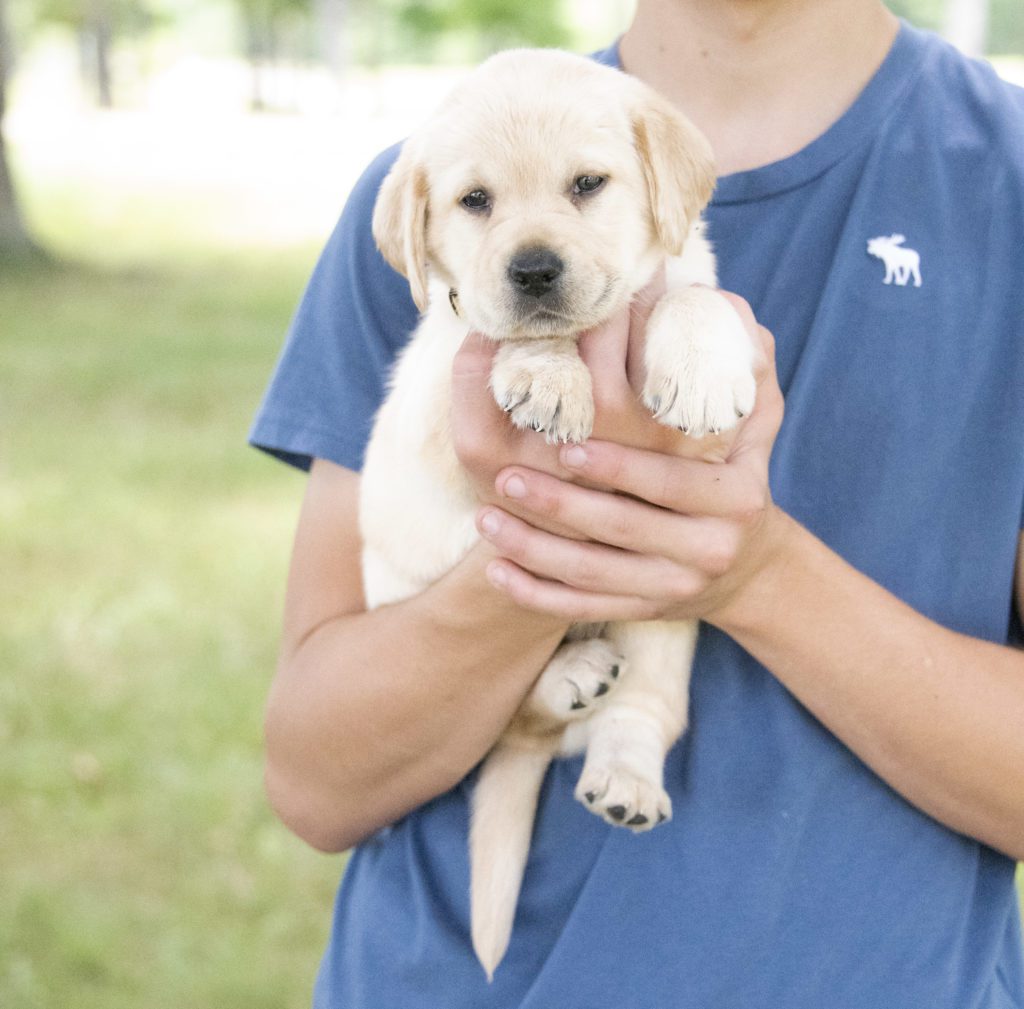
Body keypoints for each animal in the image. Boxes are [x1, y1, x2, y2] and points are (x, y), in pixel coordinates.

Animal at [364, 47, 757, 975]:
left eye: (587, 184)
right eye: (475, 201)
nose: (535, 270)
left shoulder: (687, 274)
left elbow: (686, 295)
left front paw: (703, 369)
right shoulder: (444, 375)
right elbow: (510, 334)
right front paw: (548, 373)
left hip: (666, 623)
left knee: (645, 711)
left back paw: (628, 776)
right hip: (409, 604)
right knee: (511, 717)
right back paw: (568, 674)